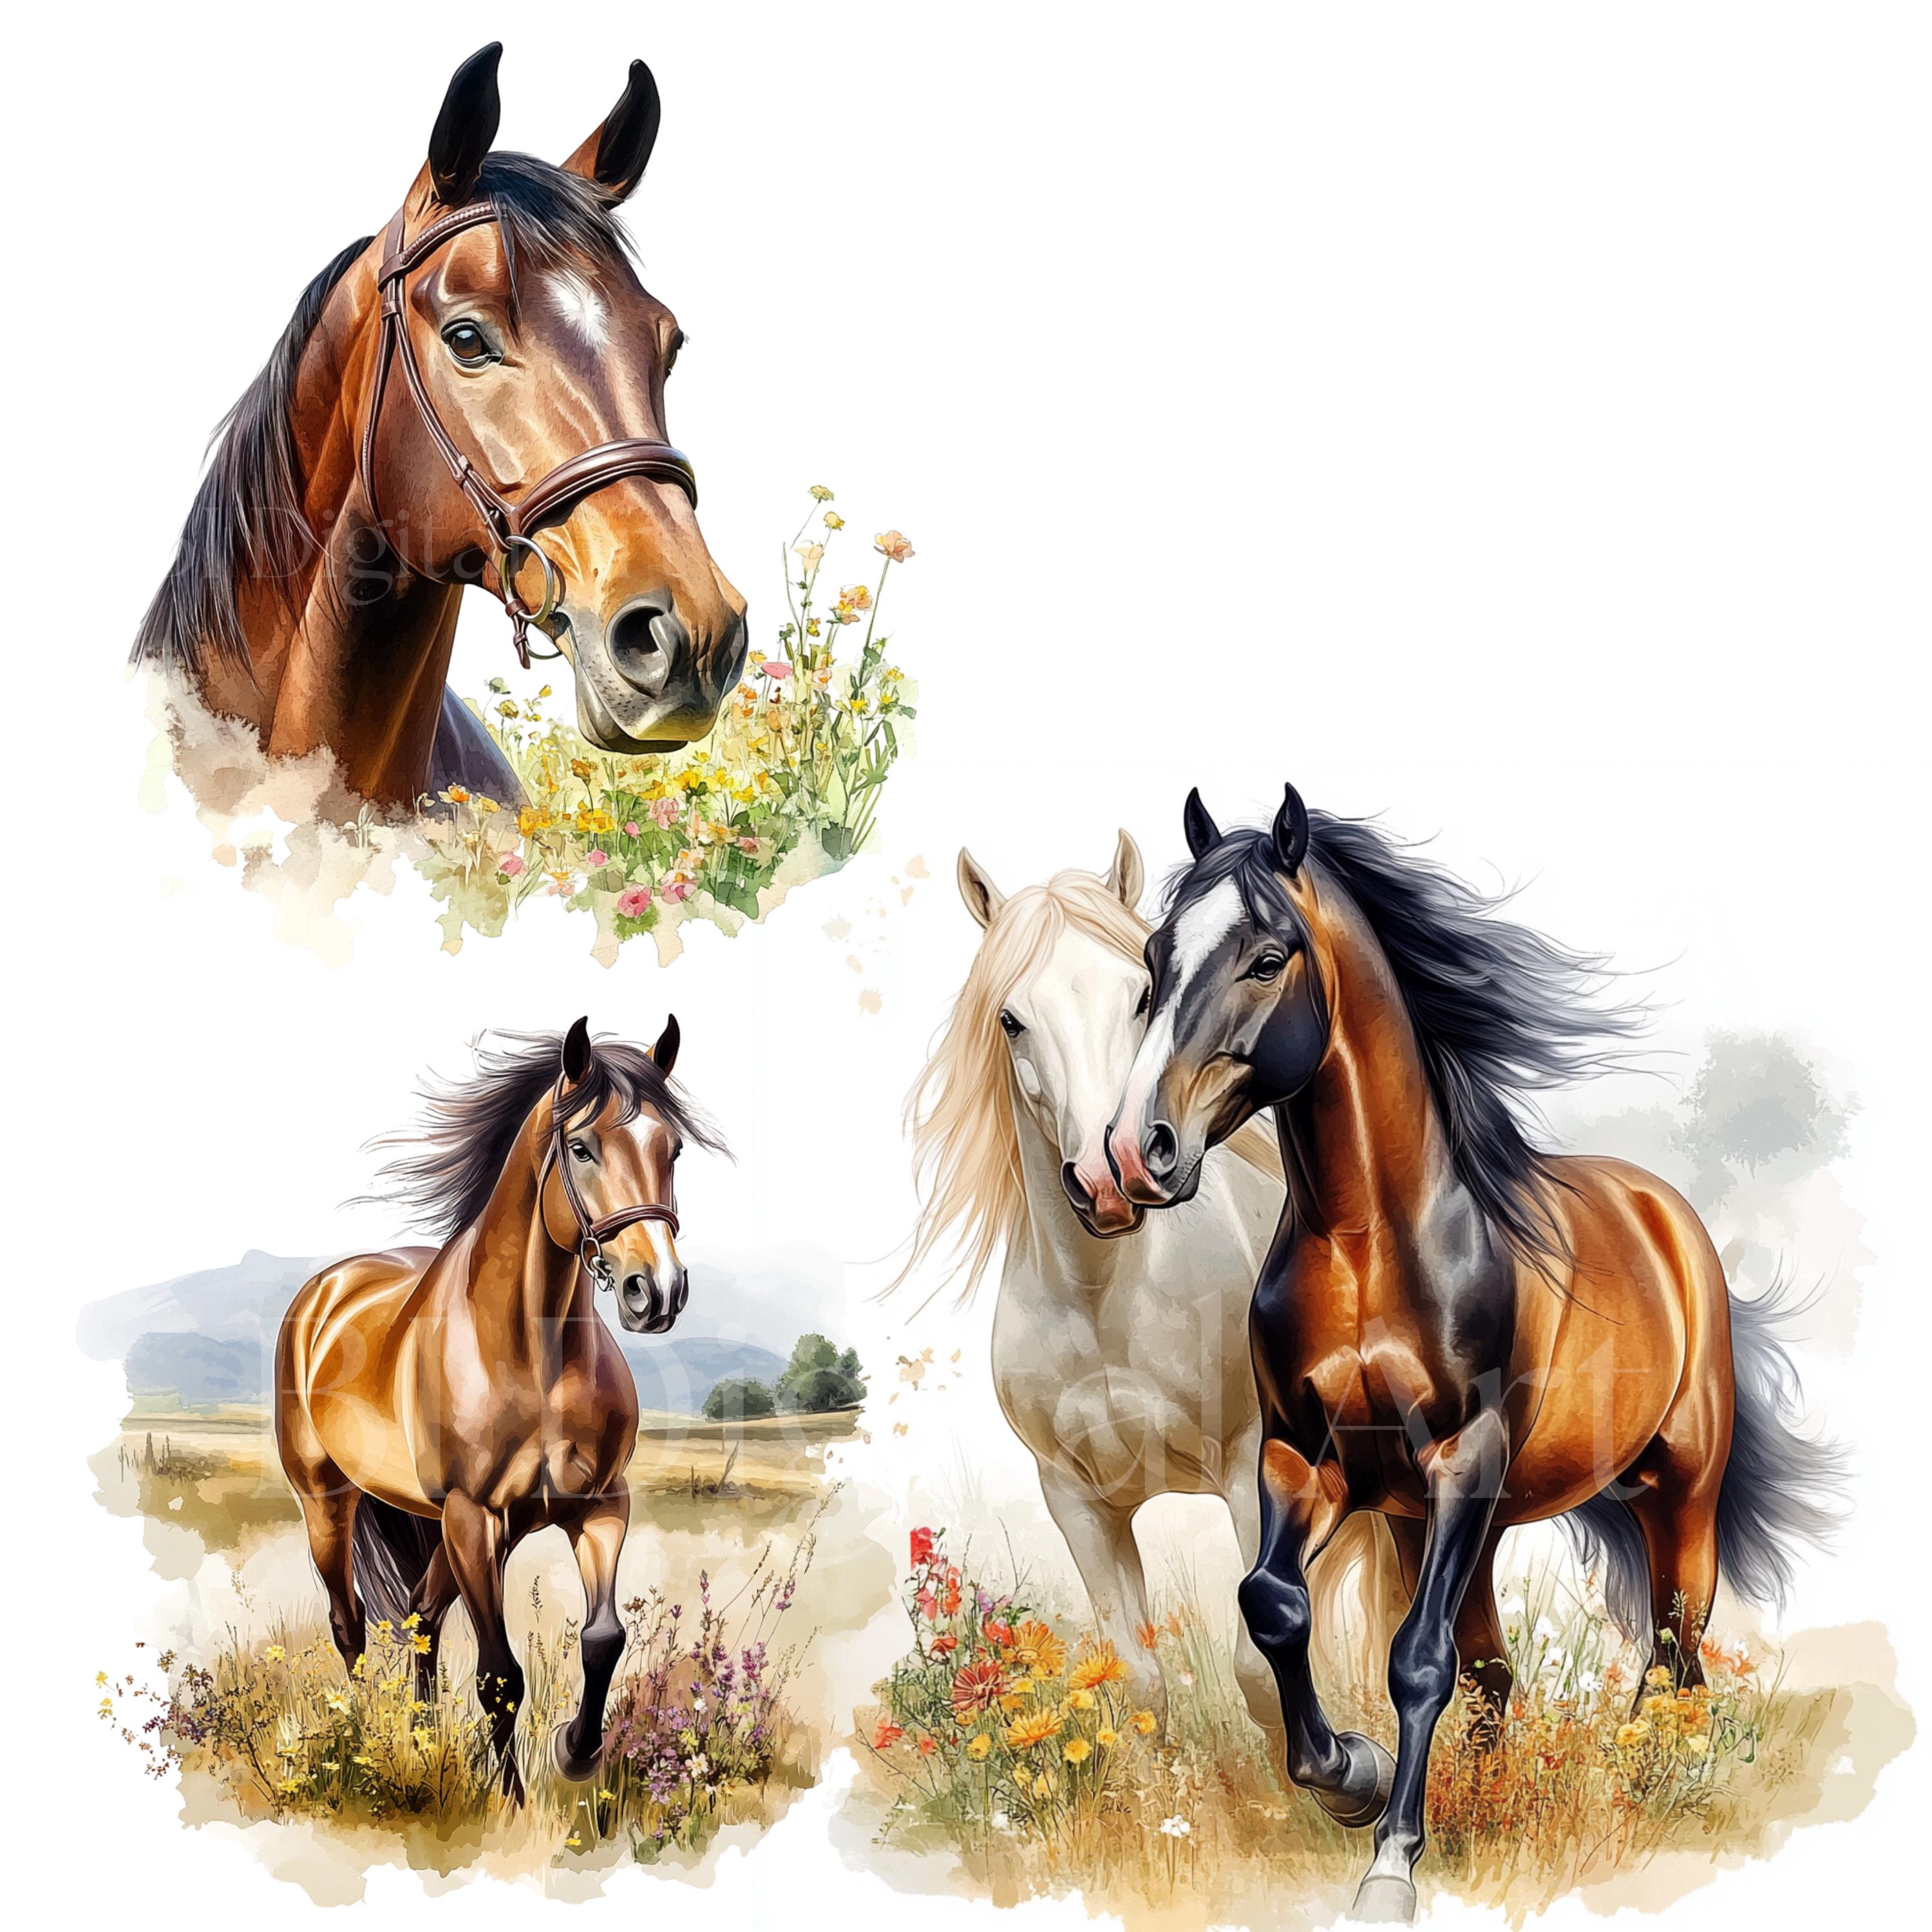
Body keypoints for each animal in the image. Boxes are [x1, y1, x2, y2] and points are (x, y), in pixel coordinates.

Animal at [274, 1016, 725, 1802]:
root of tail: (324, 1291)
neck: (530, 1352)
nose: (657, 1292)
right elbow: (500, 1677)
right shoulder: (473, 1517)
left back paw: (422, 1740)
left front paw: (576, 1749)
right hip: (331, 1502)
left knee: (422, 1616)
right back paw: (363, 1740)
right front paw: (511, 1802)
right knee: (350, 1623)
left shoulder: (598, 1507)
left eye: (671, 1148)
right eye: (581, 1148)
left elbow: (602, 1638)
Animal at [900, 833, 1404, 1766]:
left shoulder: (1252, 1471)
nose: (1108, 1177)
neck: (1106, 1301)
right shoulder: (1079, 1500)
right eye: (1010, 1020)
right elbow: (1136, 1681)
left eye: (1141, 995)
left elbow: (1257, 1667)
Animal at [1104, 785, 1843, 1921]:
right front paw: (1350, 1778)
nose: (1136, 1153)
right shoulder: (1309, 1462)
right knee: (1503, 1673)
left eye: (1267, 958)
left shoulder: (1464, 1457)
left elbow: (1417, 1661)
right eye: (1153, 956)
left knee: (1674, 1652)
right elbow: (1275, 1605)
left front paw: (1392, 1863)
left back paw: (1653, 1787)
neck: (1370, 1243)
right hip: (1462, 1528)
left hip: (1675, 1494)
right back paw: (1497, 1800)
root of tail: (1668, 1216)